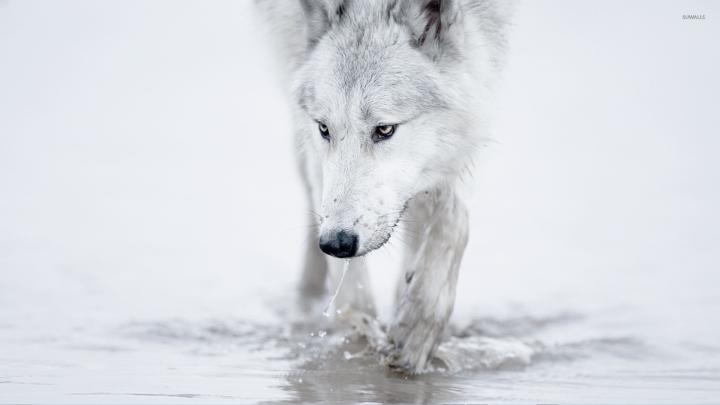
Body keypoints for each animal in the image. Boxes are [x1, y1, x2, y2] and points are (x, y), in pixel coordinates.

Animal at [256, 0, 510, 373]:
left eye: (385, 129)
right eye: (324, 128)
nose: (336, 242)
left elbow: (453, 216)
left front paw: (417, 324)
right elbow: (353, 292)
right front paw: (362, 334)